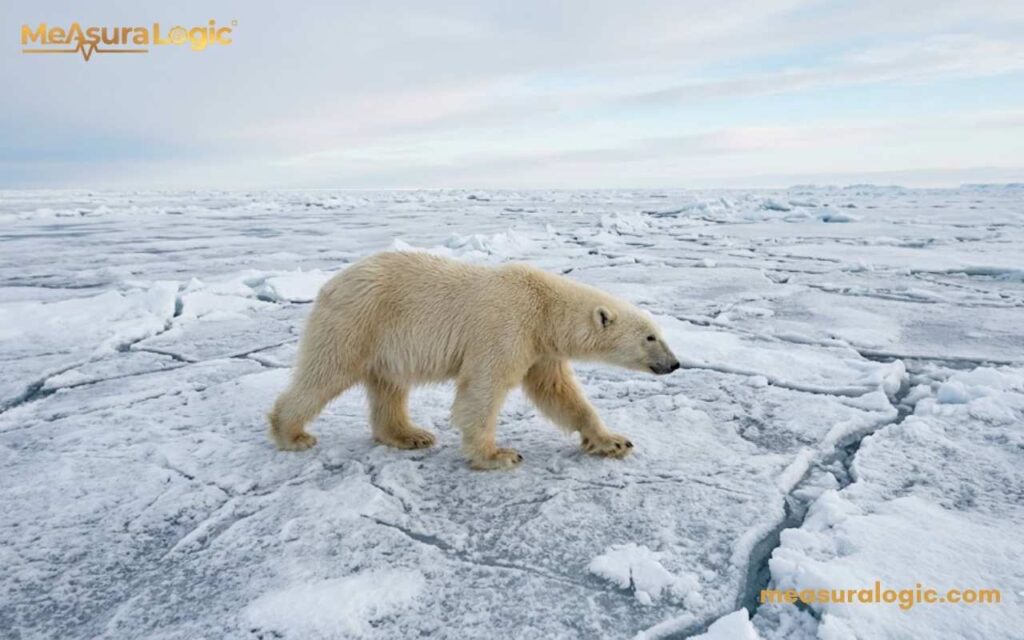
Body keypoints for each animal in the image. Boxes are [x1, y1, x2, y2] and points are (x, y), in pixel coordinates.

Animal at [268, 251, 680, 470]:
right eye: (650, 337)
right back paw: (292, 433)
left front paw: (614, 442)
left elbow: (560, 395)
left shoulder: (540, 349)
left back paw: (410, 434)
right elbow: (483, 389)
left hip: (383, 342)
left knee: (389, 387)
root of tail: (330, 284)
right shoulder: (506, 327)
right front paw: (498, 455)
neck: (544, 308)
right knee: (326, 372)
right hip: (357, 322)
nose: (675, 364)